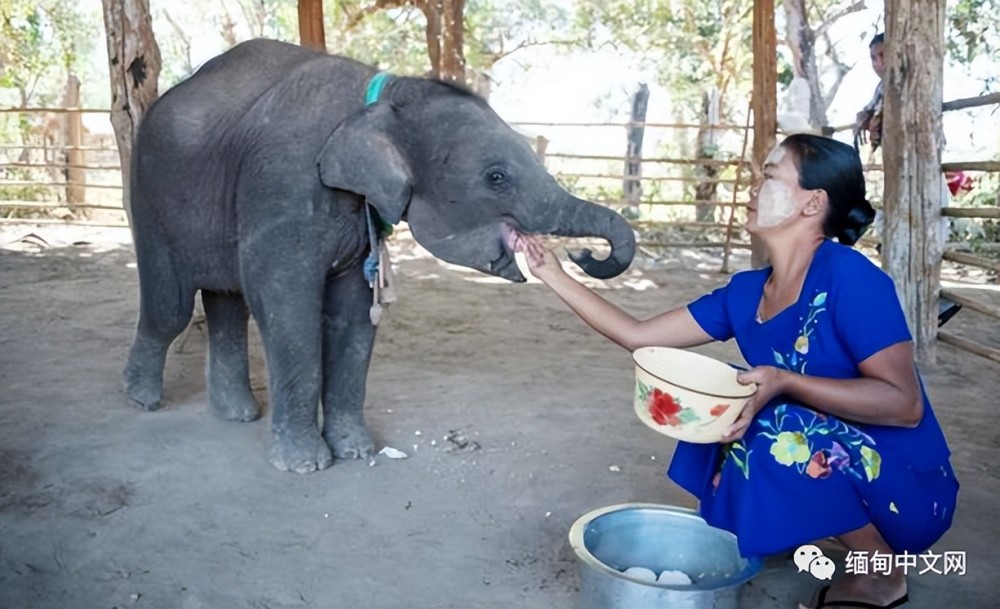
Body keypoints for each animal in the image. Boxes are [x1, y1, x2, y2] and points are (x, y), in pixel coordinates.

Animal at [125, 39, 636, 476]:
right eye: (496, 177)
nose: (585, 254)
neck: (384, 95)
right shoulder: (282, 184)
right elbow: (287, 304)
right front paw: (306, 467)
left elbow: (353, 313)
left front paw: (357, 451)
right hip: (147, 193)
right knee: (171, 307)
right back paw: (142, 401)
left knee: (227, 302)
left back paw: (238, 416)